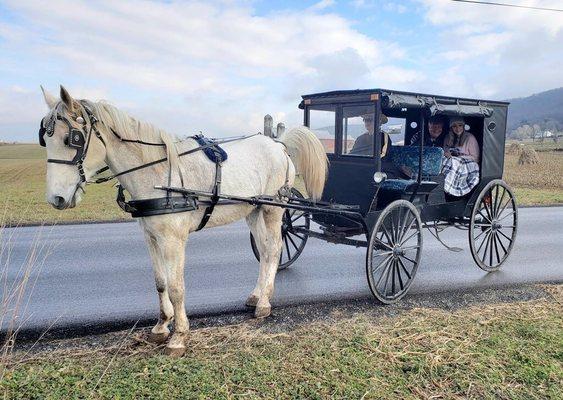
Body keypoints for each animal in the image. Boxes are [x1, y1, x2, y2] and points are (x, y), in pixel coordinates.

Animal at [39, 86, 328, 356]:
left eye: (72, 139)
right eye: (46, 139)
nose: (56, 198)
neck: (156, 172)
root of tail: (278, 144)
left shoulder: (174, 239)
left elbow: (176, 287)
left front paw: (179, 335)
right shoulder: (151, 236)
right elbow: (160, 283)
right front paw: (160, 326)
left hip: (272, 210)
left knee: (275, 249)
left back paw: (265, 303)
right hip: (253, 211)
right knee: (266, 251)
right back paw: (257, 296)